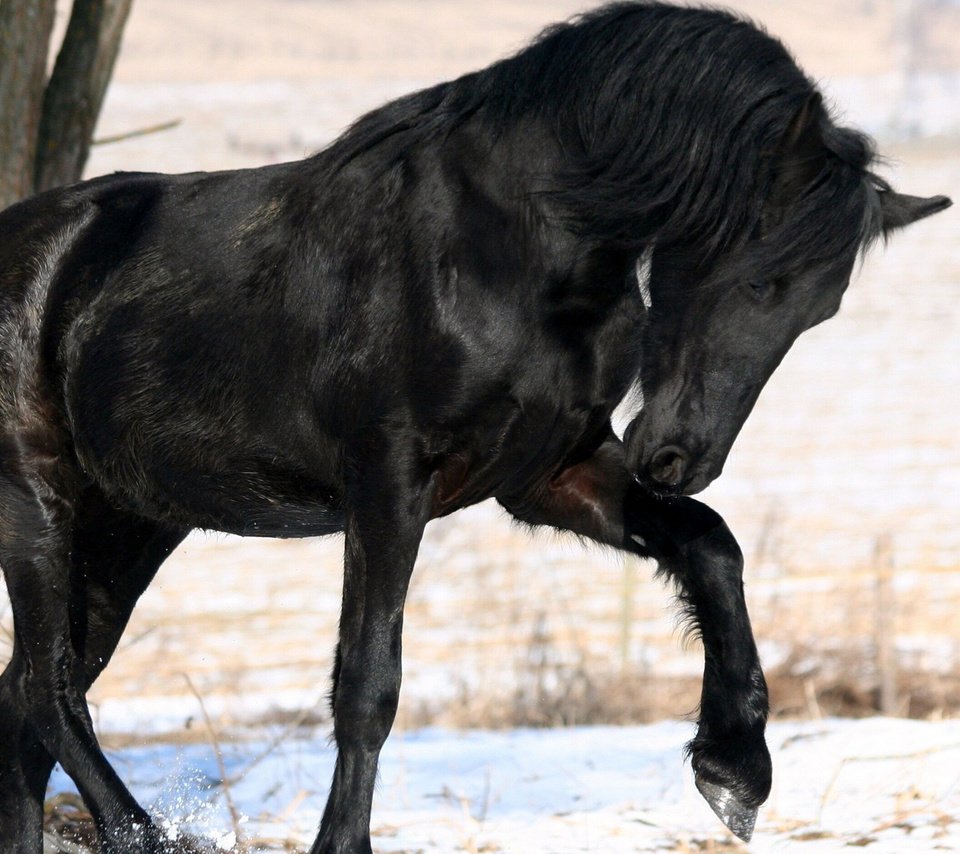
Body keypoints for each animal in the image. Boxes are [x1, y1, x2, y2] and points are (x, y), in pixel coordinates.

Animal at [0, 3, 948, 852]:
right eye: (757, 276)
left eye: (820, 309)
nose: (682, 457)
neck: (508, 250)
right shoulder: (388, 485)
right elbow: (368, 683)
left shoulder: (548, 474)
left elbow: (713, 547)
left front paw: (735, 771)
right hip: (36, 503)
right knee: (48, 689)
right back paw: (145, 835)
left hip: (130, 526)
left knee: (33, 699)